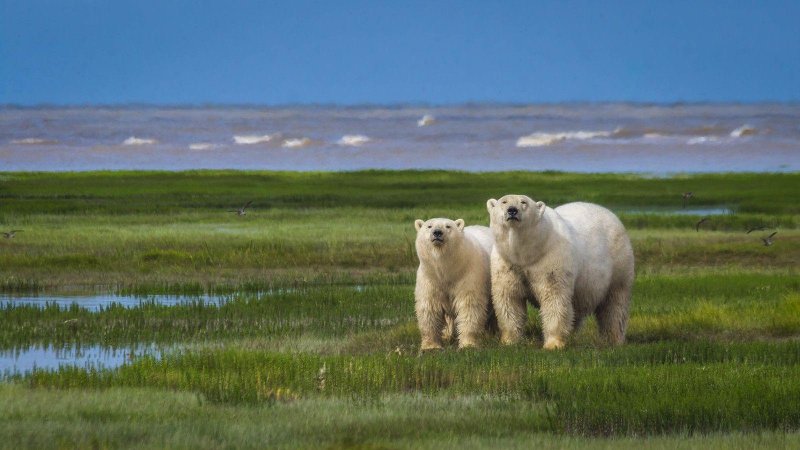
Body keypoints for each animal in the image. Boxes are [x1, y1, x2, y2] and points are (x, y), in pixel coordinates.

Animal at [416, 220, 496, 350]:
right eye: (429, 226)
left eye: (448, 226)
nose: (437, 232)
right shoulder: (430, 279)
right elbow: (429, 307)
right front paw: (431, 346)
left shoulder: (468, 274)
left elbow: (469, 305)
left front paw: (468, 344)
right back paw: (446, 335)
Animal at [484, 195, 636, 350]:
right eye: (504, 201)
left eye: (523, 202)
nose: (512, 210)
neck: (529, 252)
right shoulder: (506, 263)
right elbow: (509, 298)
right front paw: (509, 341)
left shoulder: (551, 259)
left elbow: (554, 298)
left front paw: (553, 344)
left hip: (619, 264)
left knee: (614, 304)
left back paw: (613, 339)